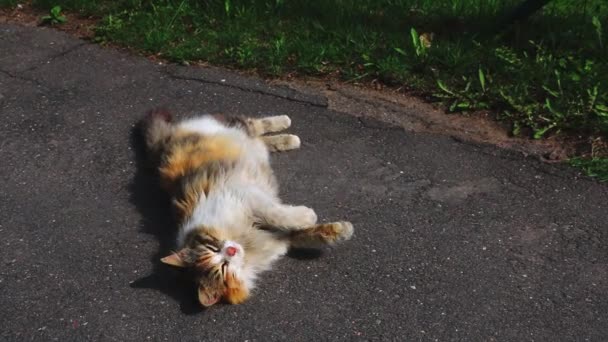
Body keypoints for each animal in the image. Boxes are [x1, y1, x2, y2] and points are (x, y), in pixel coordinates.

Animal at [141, 108, 354, 306]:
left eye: (213, 248)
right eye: (223, 268)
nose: (231, 251)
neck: (245, 239)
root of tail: (164, 142)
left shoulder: (244, 195)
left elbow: (278, 215)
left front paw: (310, 216)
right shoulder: (281, 237)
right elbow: (310, 233)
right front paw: (342, 230)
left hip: (229, 128)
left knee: (254, 124)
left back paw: (287, 127)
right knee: (261, 140)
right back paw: (289, 139)